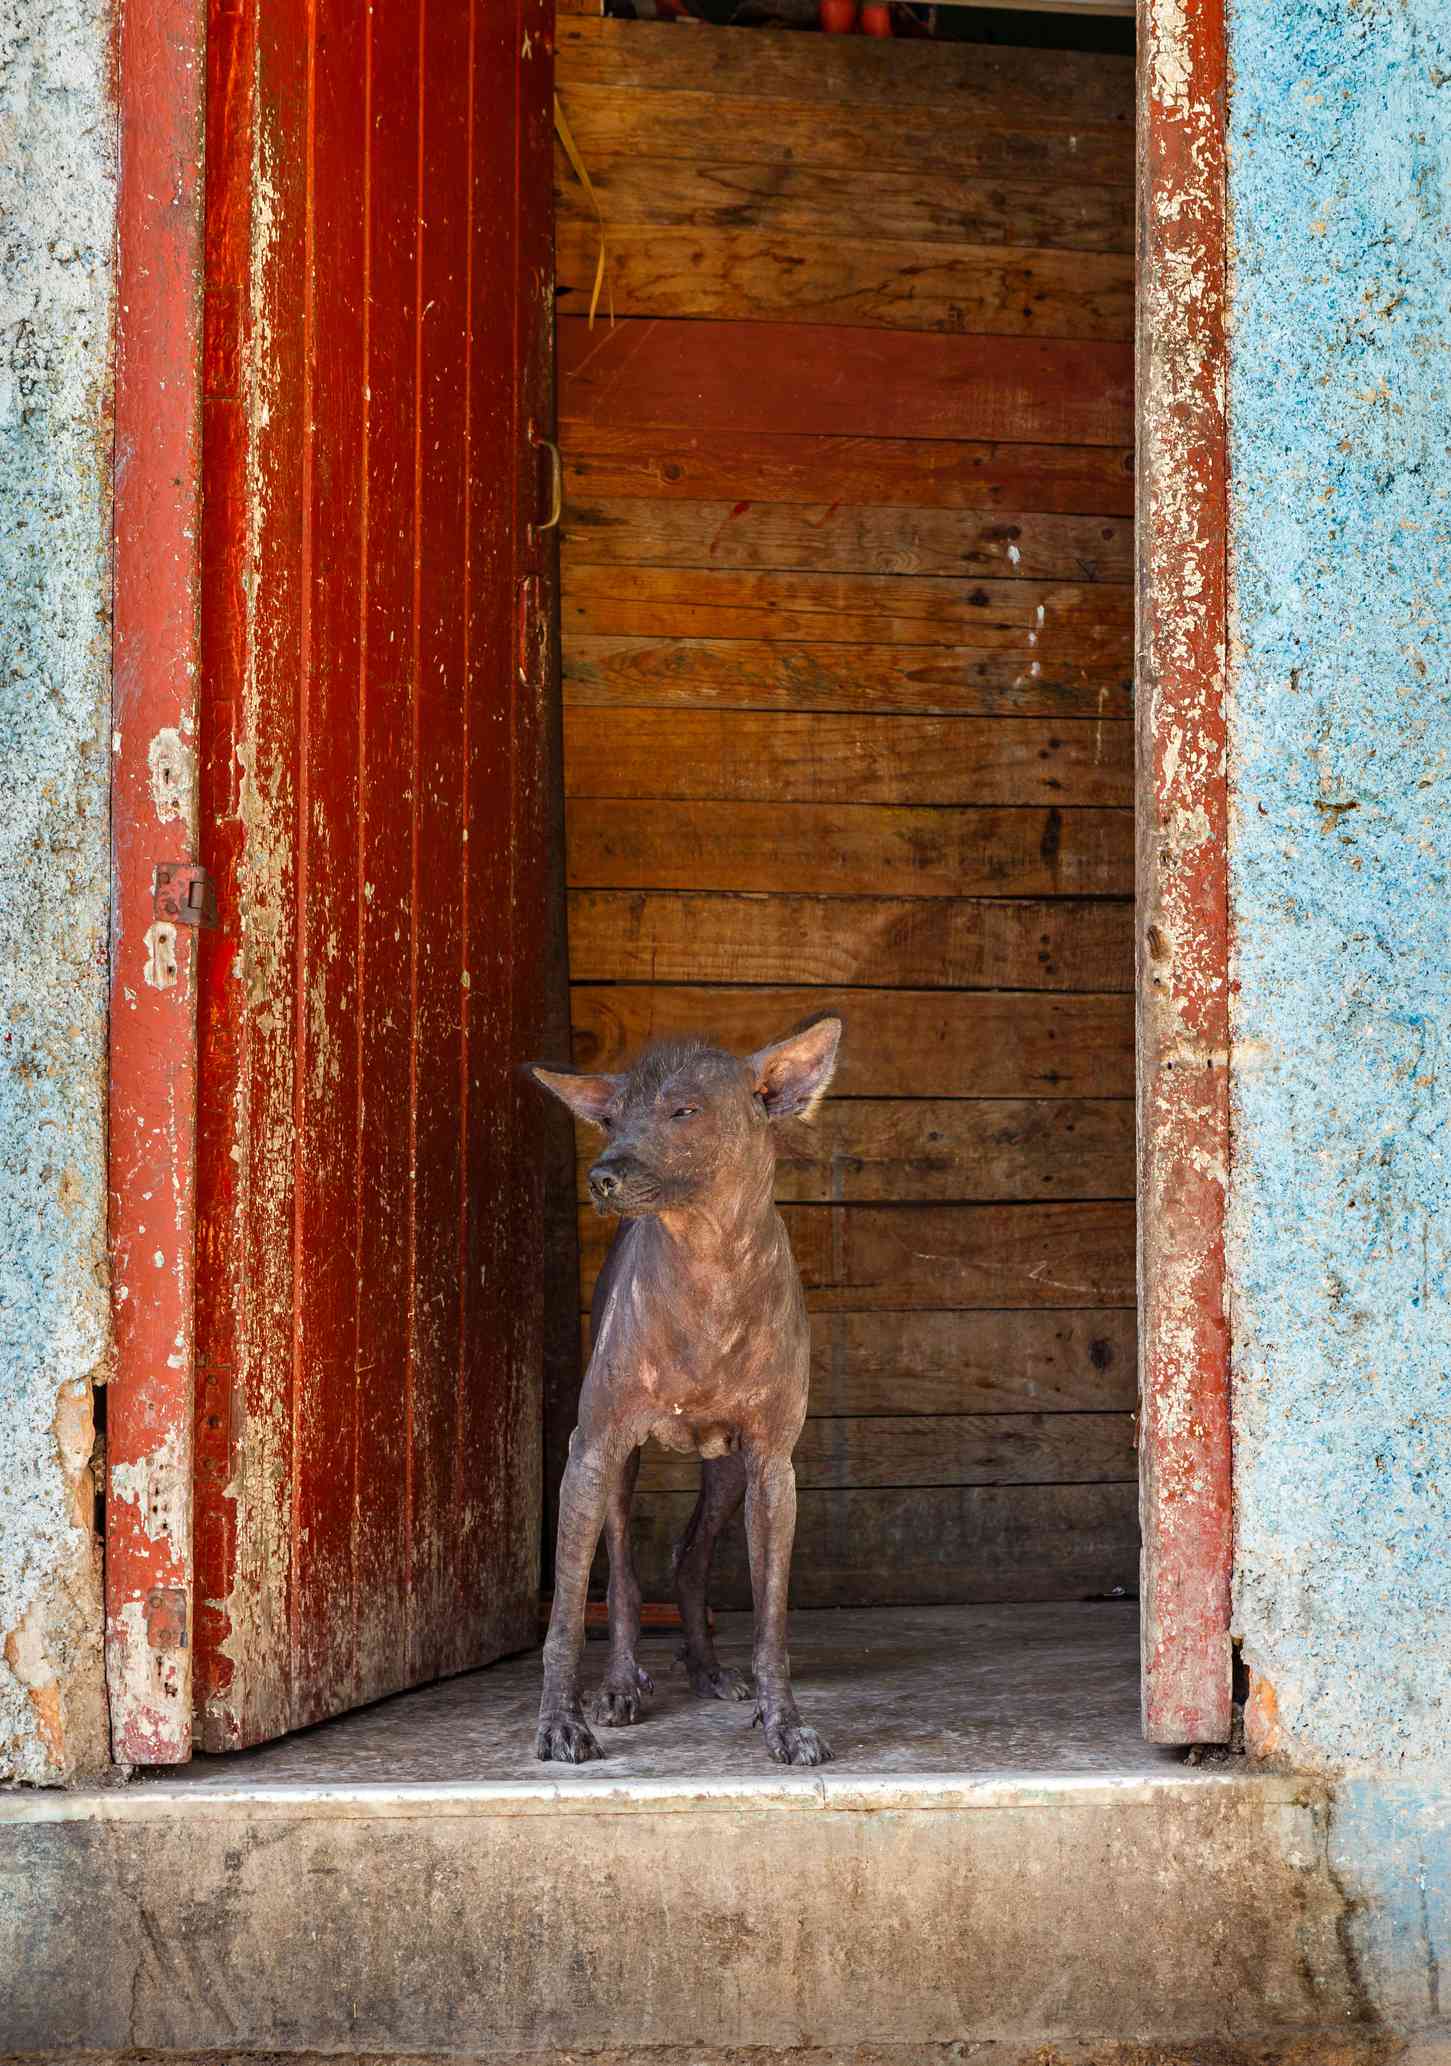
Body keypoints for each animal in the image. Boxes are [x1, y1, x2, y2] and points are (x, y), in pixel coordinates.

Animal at [533, 1016, 843, 1760]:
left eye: (683, 1112)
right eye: (611, 1117)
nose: (603, 1174)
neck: (710, 1270)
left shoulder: (771, 1465)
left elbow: (771, 1621)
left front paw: (782, 1721)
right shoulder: (590, 1448)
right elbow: (567, 1613)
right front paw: (560, 1721)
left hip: (728, 1473)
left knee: (689, 1558)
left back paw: (706, 1668)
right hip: (617, 1467)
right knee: (621, 1577)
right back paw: (620, 1683)